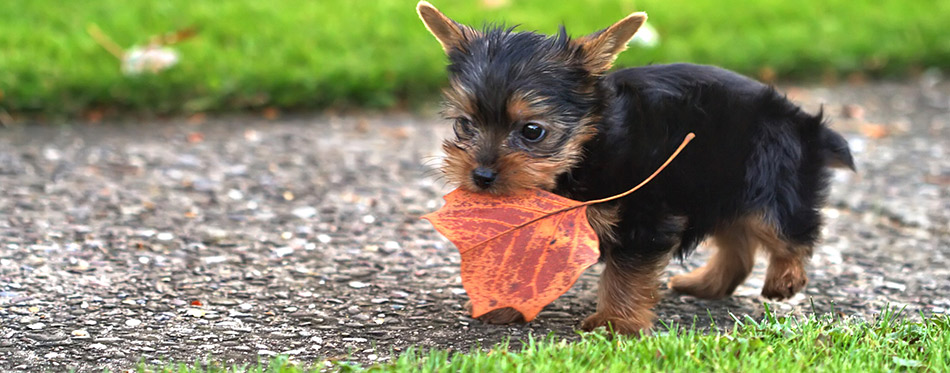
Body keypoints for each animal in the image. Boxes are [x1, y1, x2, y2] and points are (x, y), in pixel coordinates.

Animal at [416, 1, 856, 332]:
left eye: (532, 131)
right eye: (464, 124)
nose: (481, 176)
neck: (586, 149)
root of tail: (803, 121)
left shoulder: (643, 214)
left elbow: (626, 273)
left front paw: (615, 324)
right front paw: (504, 302)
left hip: (769, 175)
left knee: (787, 226)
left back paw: (784, 277)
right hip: (716, 183)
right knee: (739, 243)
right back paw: (705, 284)